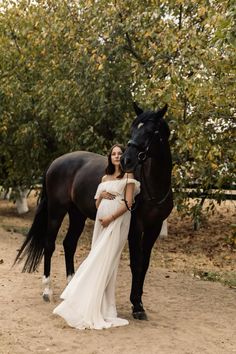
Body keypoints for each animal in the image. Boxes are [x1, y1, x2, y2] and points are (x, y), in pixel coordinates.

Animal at [15, 103, 173, 320]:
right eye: (133, 128)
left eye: (151, 131)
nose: (126, 160)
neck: (153, 186)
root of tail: (56, 162)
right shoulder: (135, 227)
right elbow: (137, 263)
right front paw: (136, 306)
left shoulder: (154, 228)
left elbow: (145, 263)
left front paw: (139, 303)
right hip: (56, 211)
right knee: (50, 244)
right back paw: (47, 290)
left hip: (77, 214)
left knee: (69, 244)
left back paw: (72, 287)